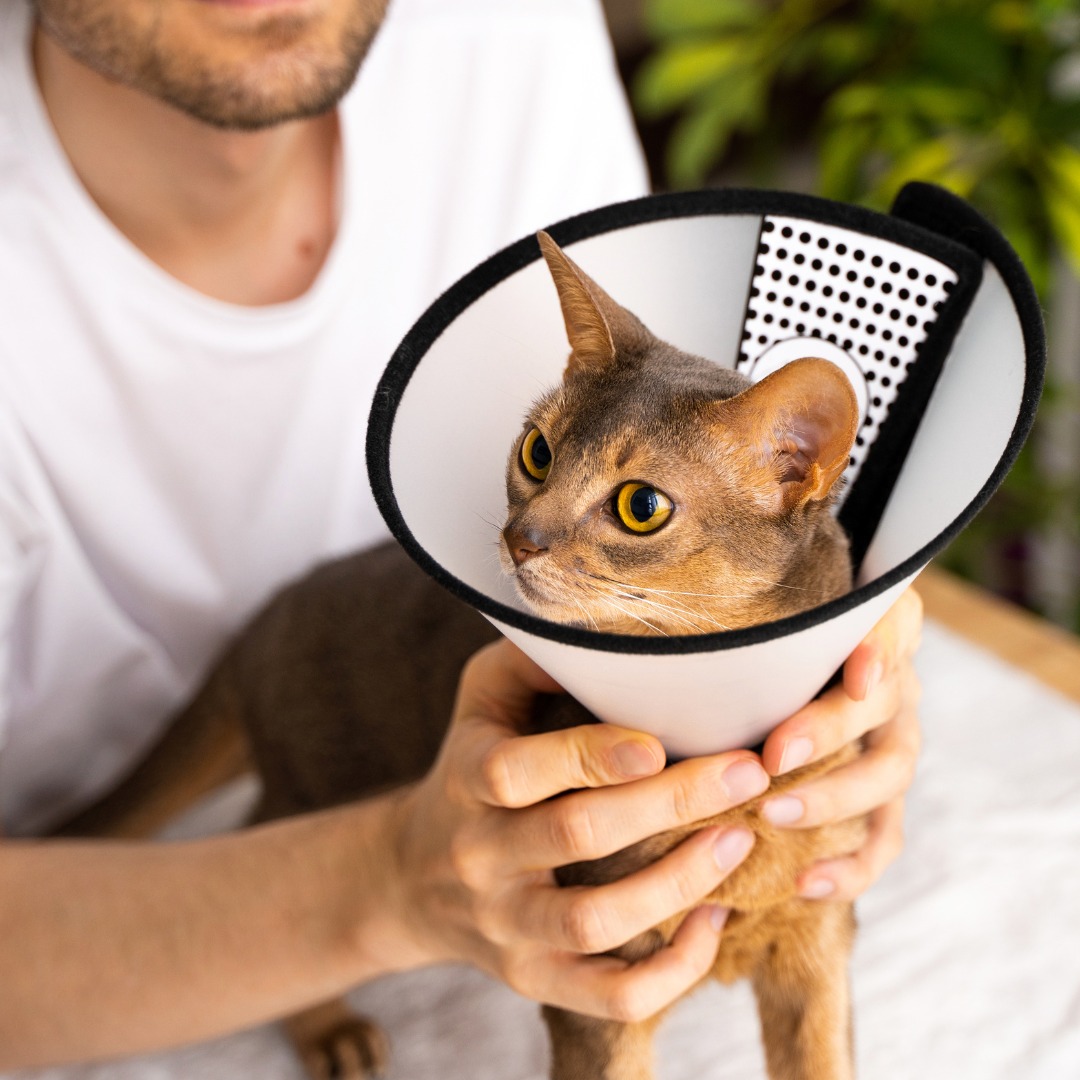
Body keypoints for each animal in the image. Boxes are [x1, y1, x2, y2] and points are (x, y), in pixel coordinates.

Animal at [59, 230, 864, 1080]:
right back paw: (328, 1027)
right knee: (257, 840)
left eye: (641, 506)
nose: (522, 538)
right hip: (315, 776)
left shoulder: (820, 941)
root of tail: (267, 614)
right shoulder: (604, 987)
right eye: (538, 452)